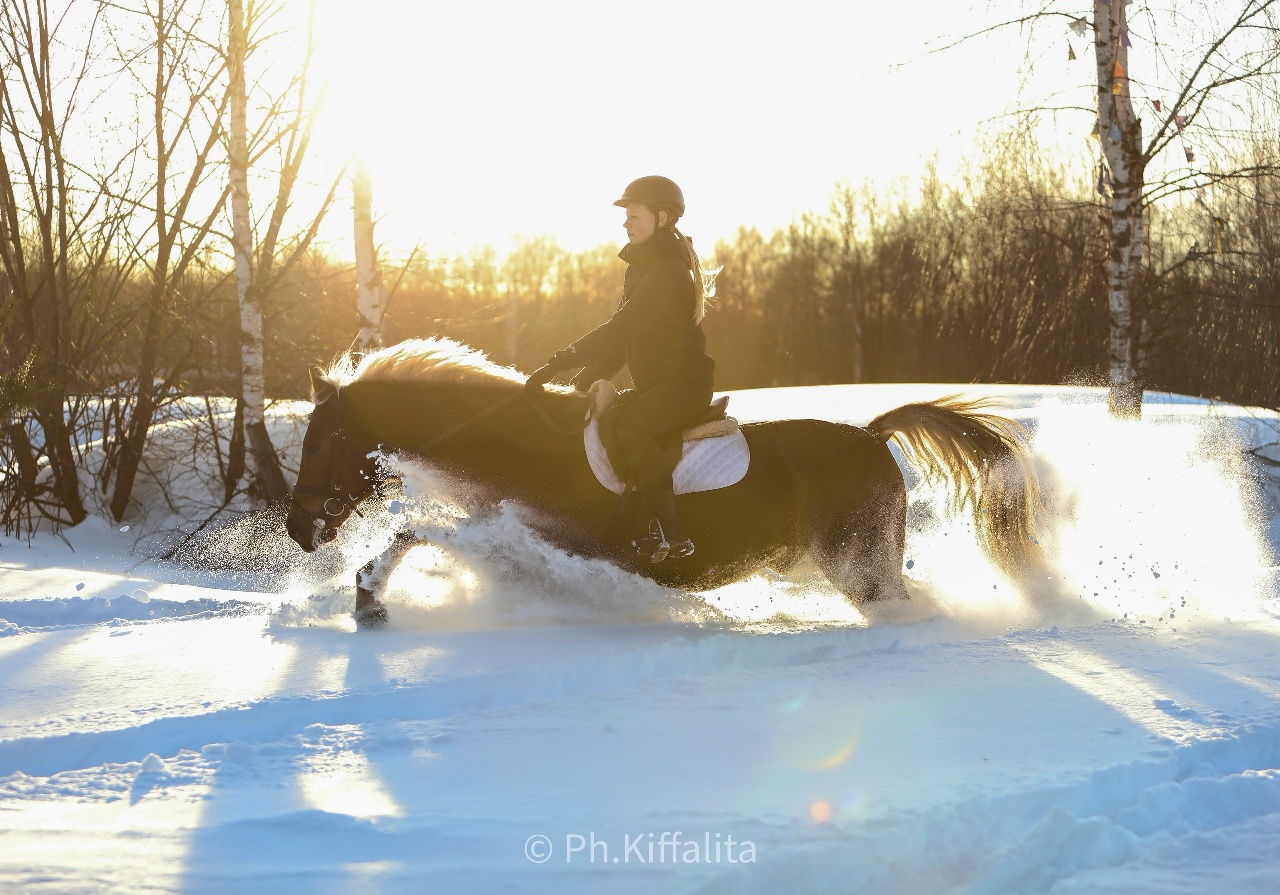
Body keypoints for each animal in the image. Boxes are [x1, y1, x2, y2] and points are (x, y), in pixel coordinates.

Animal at [285, 337, 1043, 625]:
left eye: (321, 442)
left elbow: (424, 531)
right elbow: (416, 533)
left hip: (861, 567)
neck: (517, 446)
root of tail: (872, 434)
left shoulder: (532, 538)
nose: (297, 528)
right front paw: (367, 596)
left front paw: (368, 594)